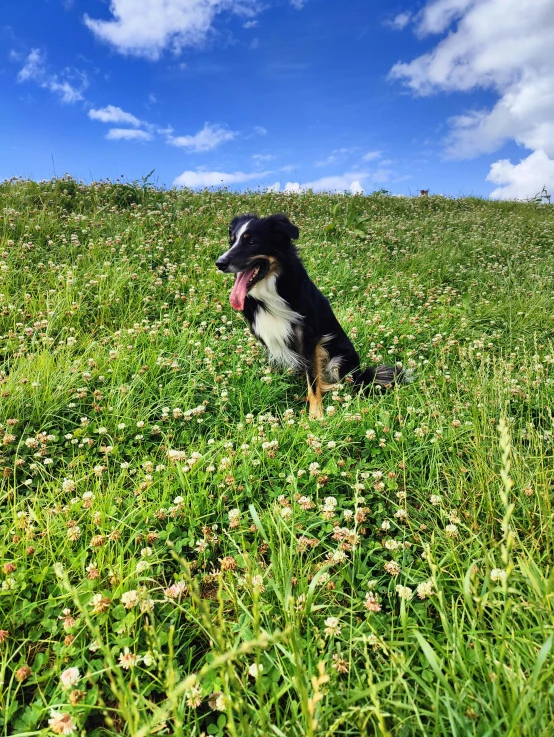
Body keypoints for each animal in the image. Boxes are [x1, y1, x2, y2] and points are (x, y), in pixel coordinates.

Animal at [216, 214, 410, 420]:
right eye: (231, 242)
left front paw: (316, 415)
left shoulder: (308, 340)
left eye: (252, 242)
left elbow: (314, 382)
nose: (219, 263)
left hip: (338, 360)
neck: (272, 290)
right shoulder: (268, 340)